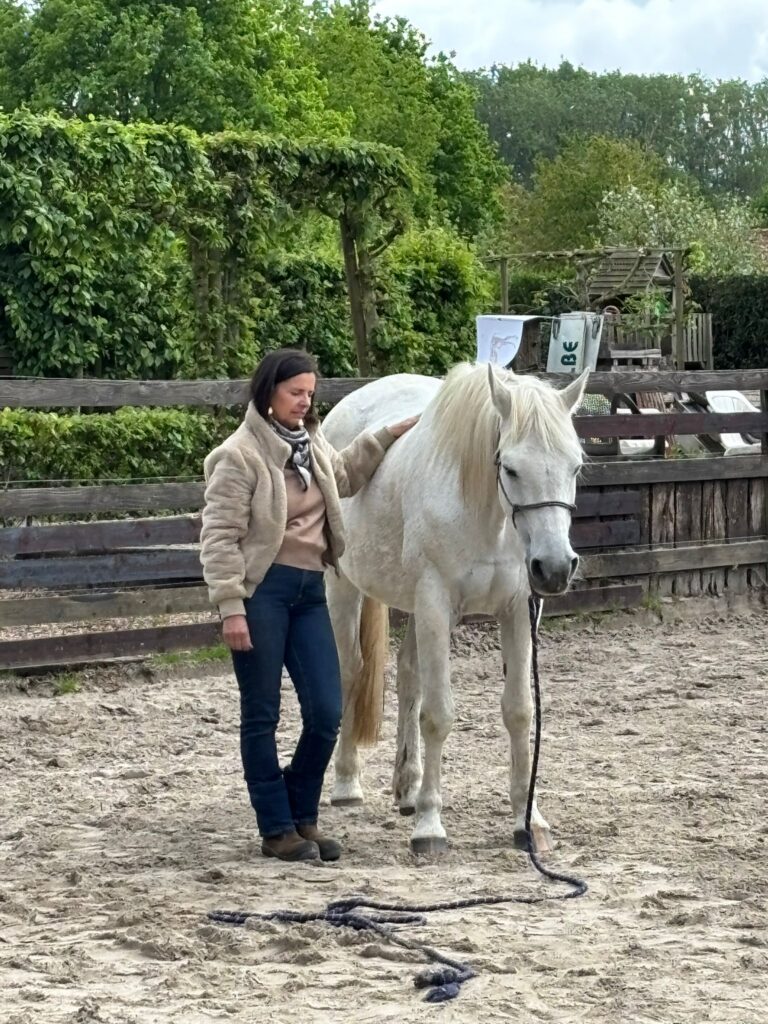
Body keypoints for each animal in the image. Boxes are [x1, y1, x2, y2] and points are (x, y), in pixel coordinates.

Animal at [321, 362, 588, 854]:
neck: (488, 516)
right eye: (511, 468)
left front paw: (528, 821)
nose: (555, 568)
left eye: (575, 465)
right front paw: (430, 826)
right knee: (351, 671)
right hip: (344, 588)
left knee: (408, 676)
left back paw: (407, 787)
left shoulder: (516, 611)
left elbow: (519, 711)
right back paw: (347, 783)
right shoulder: (435, 603)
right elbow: (438, 715)